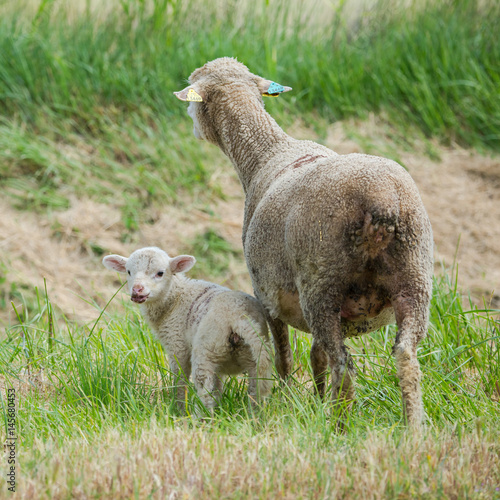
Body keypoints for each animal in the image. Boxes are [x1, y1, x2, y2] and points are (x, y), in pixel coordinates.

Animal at [102, 247, 274, 414]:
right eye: (129, 271)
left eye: (160, 273)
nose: (137, 290)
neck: (175, 298)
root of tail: (239, 318)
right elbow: (218, 387)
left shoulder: (177, 343)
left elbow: (180, 379)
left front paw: (179, 410)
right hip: (252, 356)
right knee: (256, 390)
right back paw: (253, 417)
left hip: (206, 348)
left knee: (204, 390)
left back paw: (201, 417)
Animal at [175, 57, 434, 426]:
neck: (267, 152)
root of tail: (382, 201)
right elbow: (316, 357)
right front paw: (316, 397)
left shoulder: (267, 295)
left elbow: (284, 357)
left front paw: (285, 399)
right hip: (413, 277)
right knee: (405, 356)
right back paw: (413, 428)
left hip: (321, 282)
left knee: (344, 365)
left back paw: (337, 425)